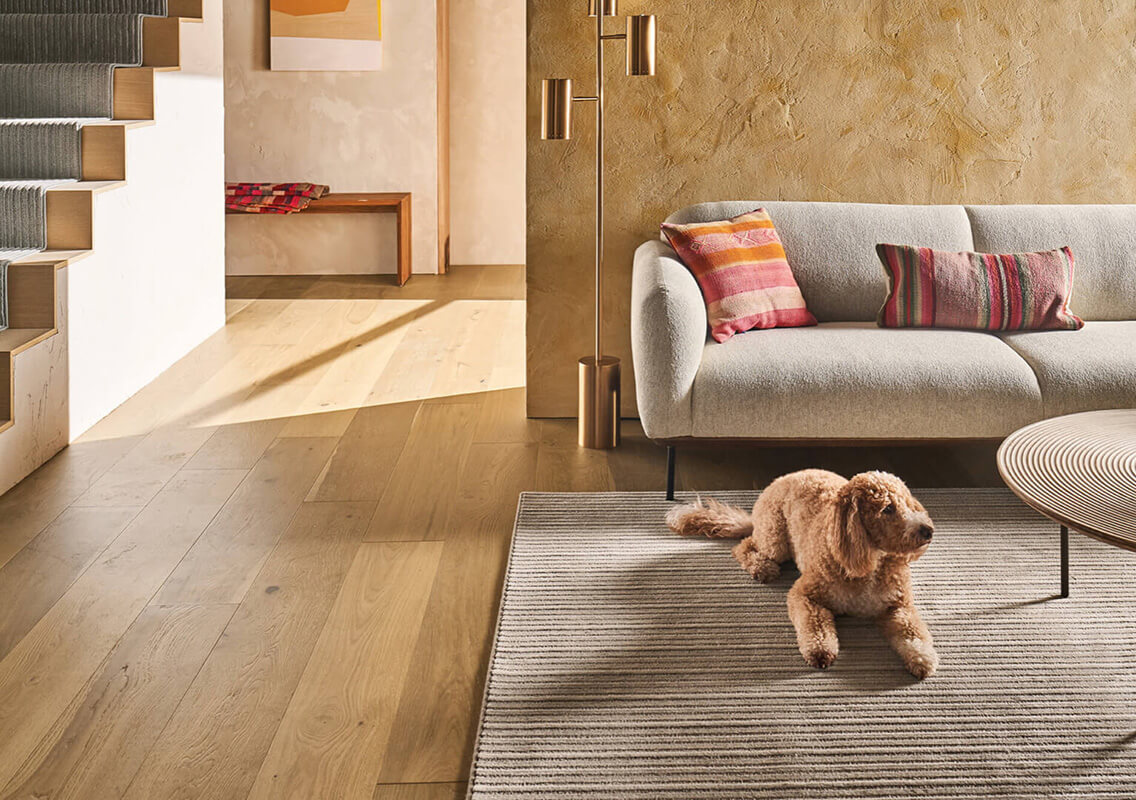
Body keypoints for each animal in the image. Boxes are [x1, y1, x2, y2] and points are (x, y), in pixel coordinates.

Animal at [663, 472, 940, 677]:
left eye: (909, 503)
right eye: (887, 509)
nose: (928, 530)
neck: (870, 563)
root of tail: (782, 478)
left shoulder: (899, 604)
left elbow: (912, 631)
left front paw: (922, 657)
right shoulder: (804, 594)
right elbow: (814, 624)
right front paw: (821, 650)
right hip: (775, 539)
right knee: (745, 546)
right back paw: (762, 568)